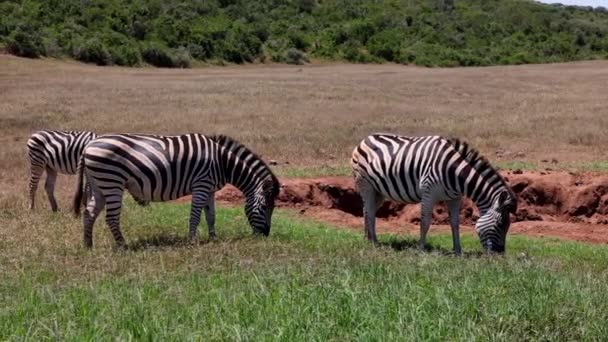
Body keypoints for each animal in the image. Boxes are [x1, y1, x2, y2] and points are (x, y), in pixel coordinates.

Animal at [73, 133, 280, 248]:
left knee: (89, 213)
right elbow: (195, 216)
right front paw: (192, 241)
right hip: (112, 182)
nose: (265, 234)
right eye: (265, 207)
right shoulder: (201, 184)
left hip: (99, 185)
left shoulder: (210, 189)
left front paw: (213, 238)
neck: (223, 162)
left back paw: (88, 245)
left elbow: (211, 215)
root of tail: (88, 146)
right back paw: (123, 246)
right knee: (111, 218)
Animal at [352, 134, 516, 254]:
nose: (500, 253)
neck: (456, 173)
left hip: (379, 191)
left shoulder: (455, 198)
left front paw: (458, 250)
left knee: (367, 210)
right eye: (501, 224)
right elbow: (425, 222)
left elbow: (455, 223)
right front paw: (421, 249)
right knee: (370, 212)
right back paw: (374, 242)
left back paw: (367, 238)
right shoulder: (428, 193)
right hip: (365, 185)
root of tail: (366, 138)